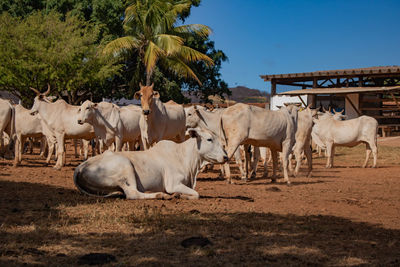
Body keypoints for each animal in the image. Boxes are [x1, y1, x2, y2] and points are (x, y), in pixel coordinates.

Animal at [72, 128, 228, 201]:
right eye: (209, 139)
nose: (226, 157)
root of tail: (80, 167)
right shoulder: (173, 184)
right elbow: (196, 194)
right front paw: (179, 196)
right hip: (126, 166)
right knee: (132, 194)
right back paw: (160, 195)